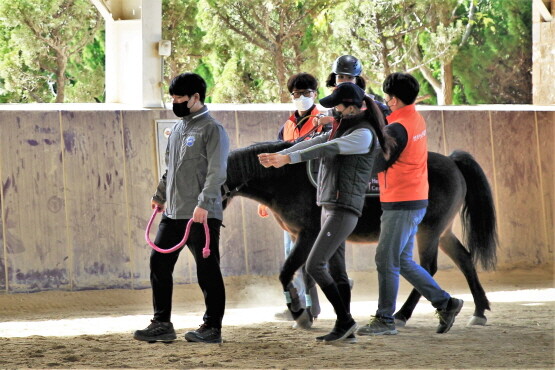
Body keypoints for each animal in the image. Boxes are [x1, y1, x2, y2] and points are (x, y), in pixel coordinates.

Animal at [224, 141, 498, 326]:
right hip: (442, 232)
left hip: (428, 231)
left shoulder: (308, 235)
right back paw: (479, 312)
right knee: (464, 259)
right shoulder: (299, 236)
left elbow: (287, 272)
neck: (287, 178)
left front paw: (300, 314)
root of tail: (452, 161)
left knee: (429, 268)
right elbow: (306, 274)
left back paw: (402, 315)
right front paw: (311, 314)